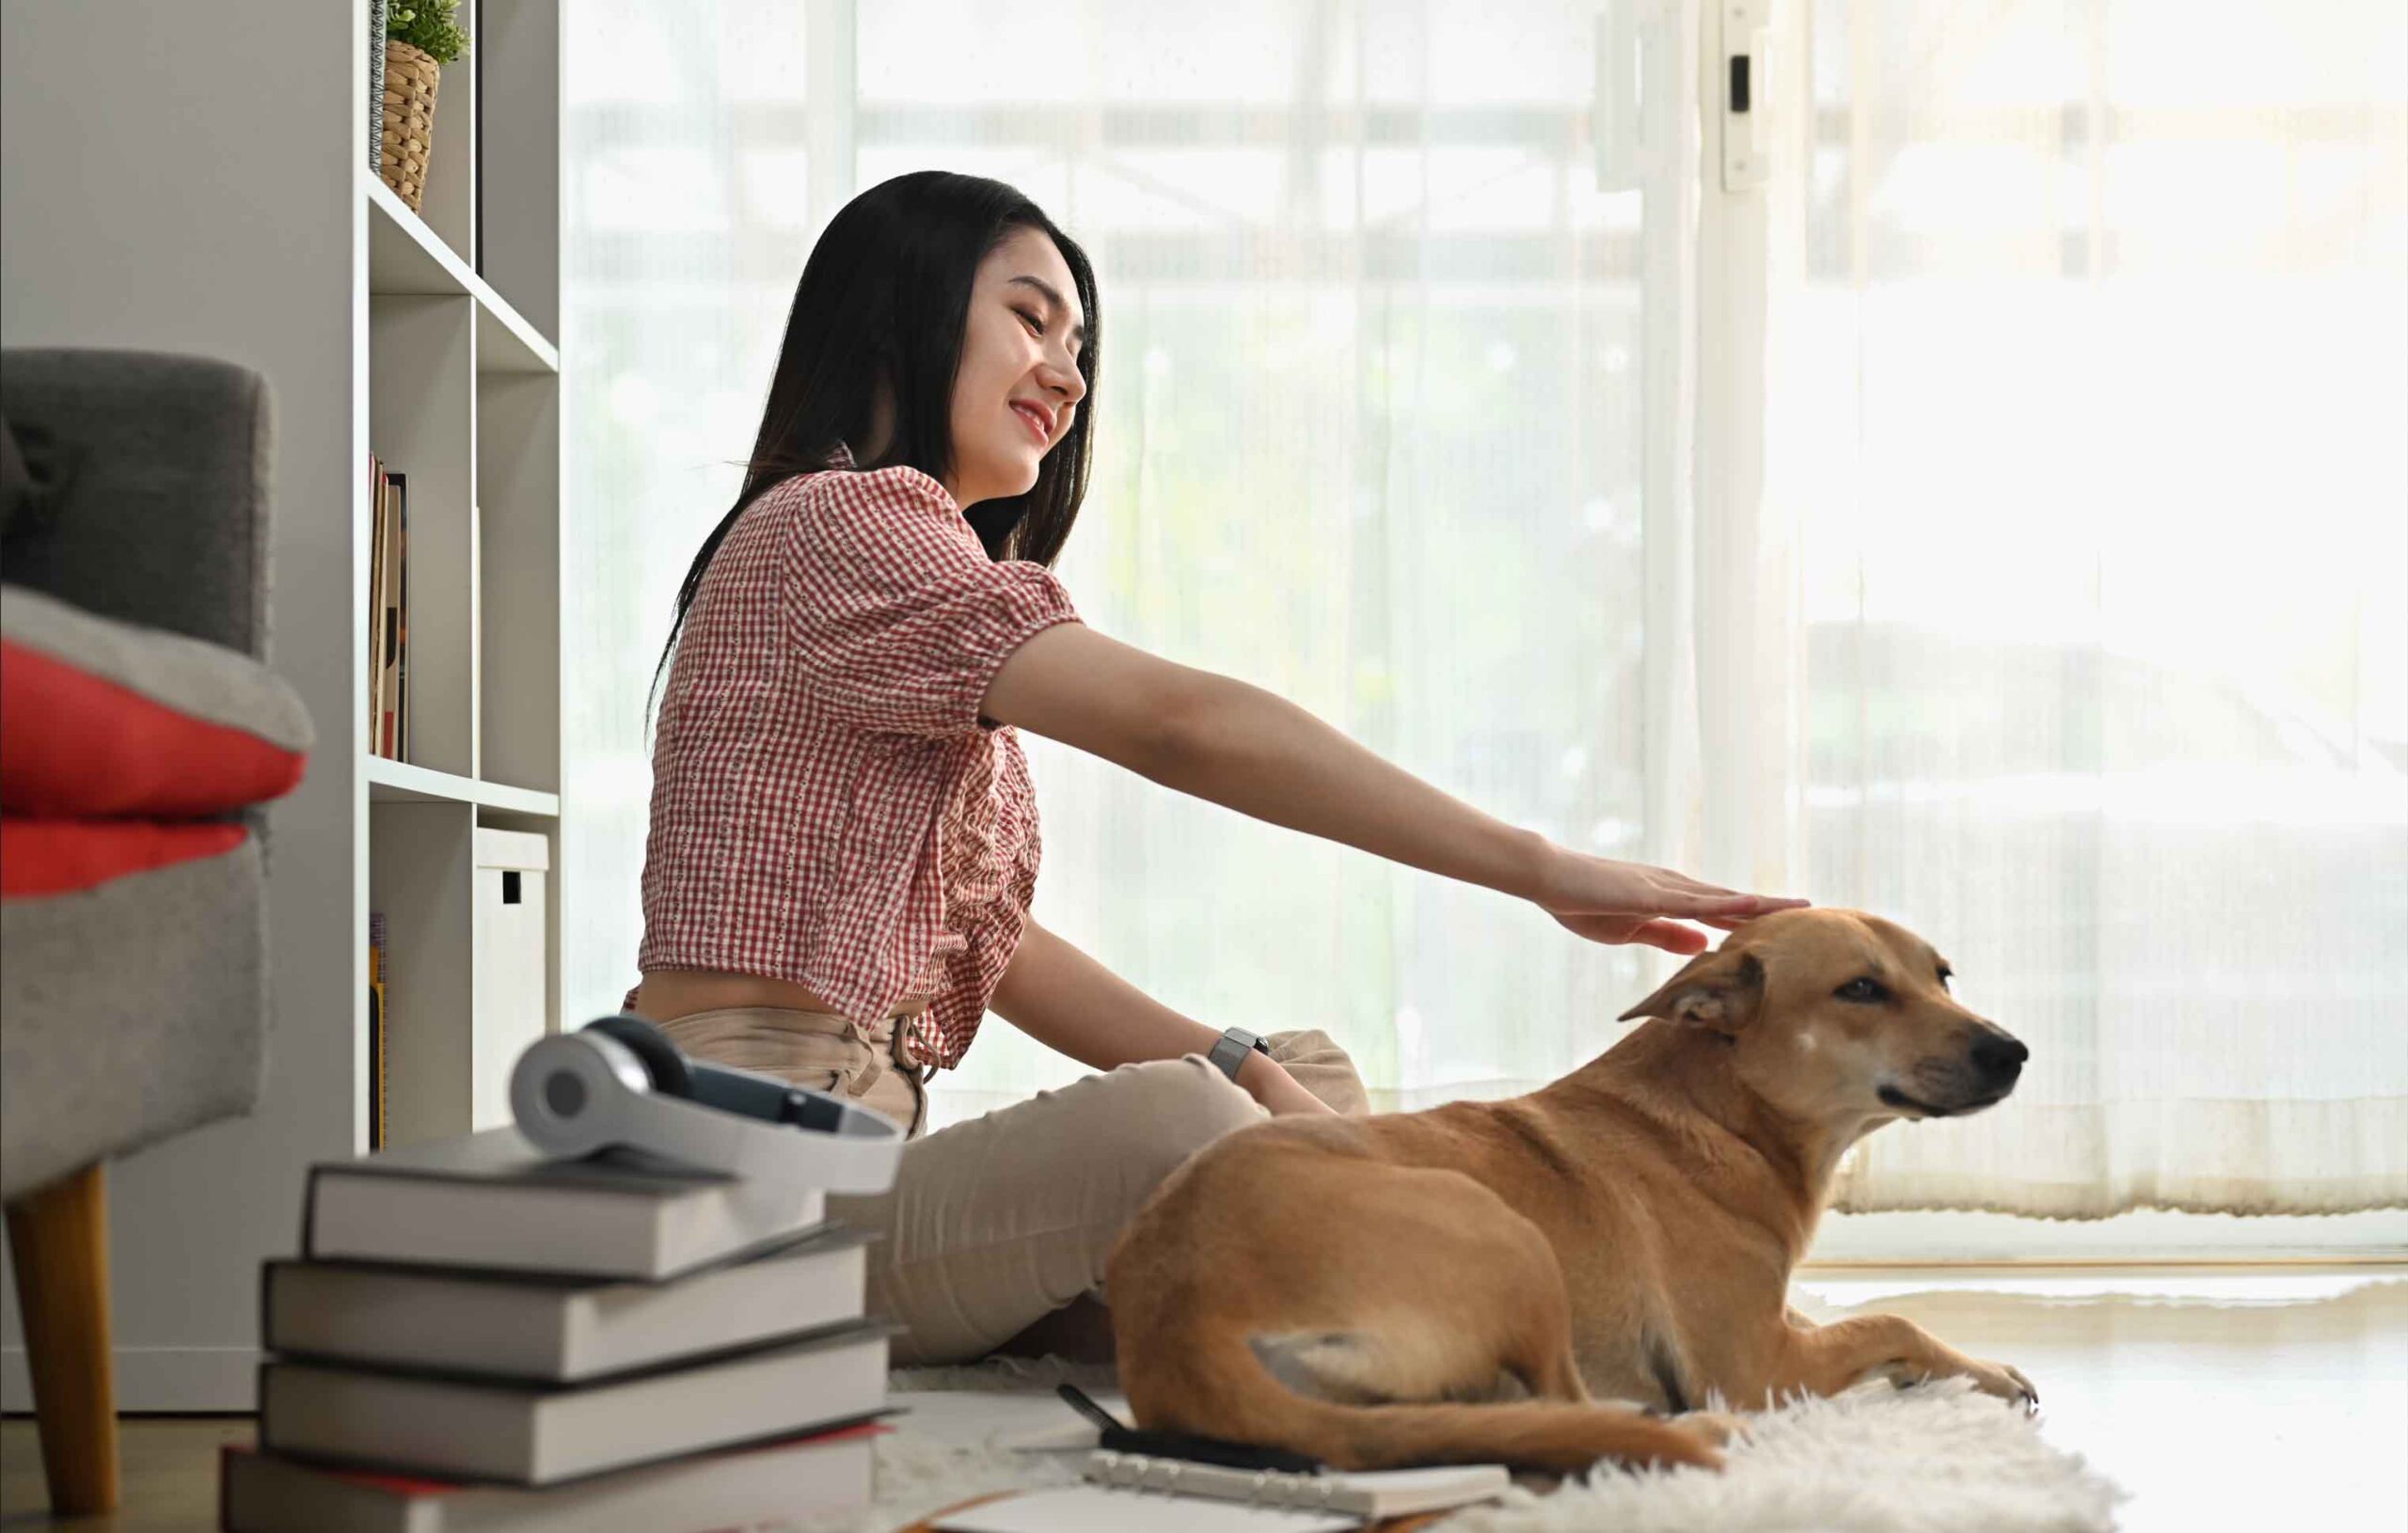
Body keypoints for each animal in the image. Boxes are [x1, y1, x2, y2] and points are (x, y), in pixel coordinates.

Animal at [1102, 909, 2032, 1473]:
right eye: (1861, 989)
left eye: (1943, 975)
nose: (2014, 1050)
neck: (1724, 1114)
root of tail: (1182, 1328)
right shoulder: (1754, 1364)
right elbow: (1888, 1320)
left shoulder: (1779, 1324)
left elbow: (1881, 1326)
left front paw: (1978, 1371)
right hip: (1508, 1238)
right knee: (1571, 1406)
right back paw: (1683, 1429)